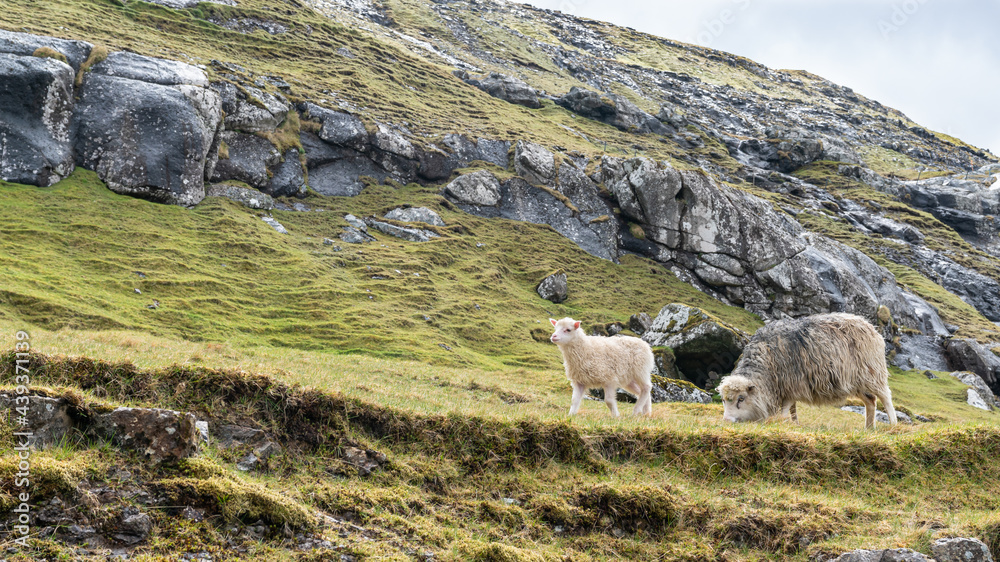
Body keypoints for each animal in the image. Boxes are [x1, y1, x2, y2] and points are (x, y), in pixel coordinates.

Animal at [720, 310, 900, 428]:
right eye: (723, 400)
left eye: (741, 399)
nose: (727, 420)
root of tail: (870, 326)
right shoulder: (787, 386)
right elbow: (793, 408)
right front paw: (794, 423)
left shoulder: (793, 382)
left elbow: (786, 407)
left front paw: (781, 422)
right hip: (856, 380)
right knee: (871, 401)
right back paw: (868, 428)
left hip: (873, 371)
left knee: (886, 396)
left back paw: (893, 424)